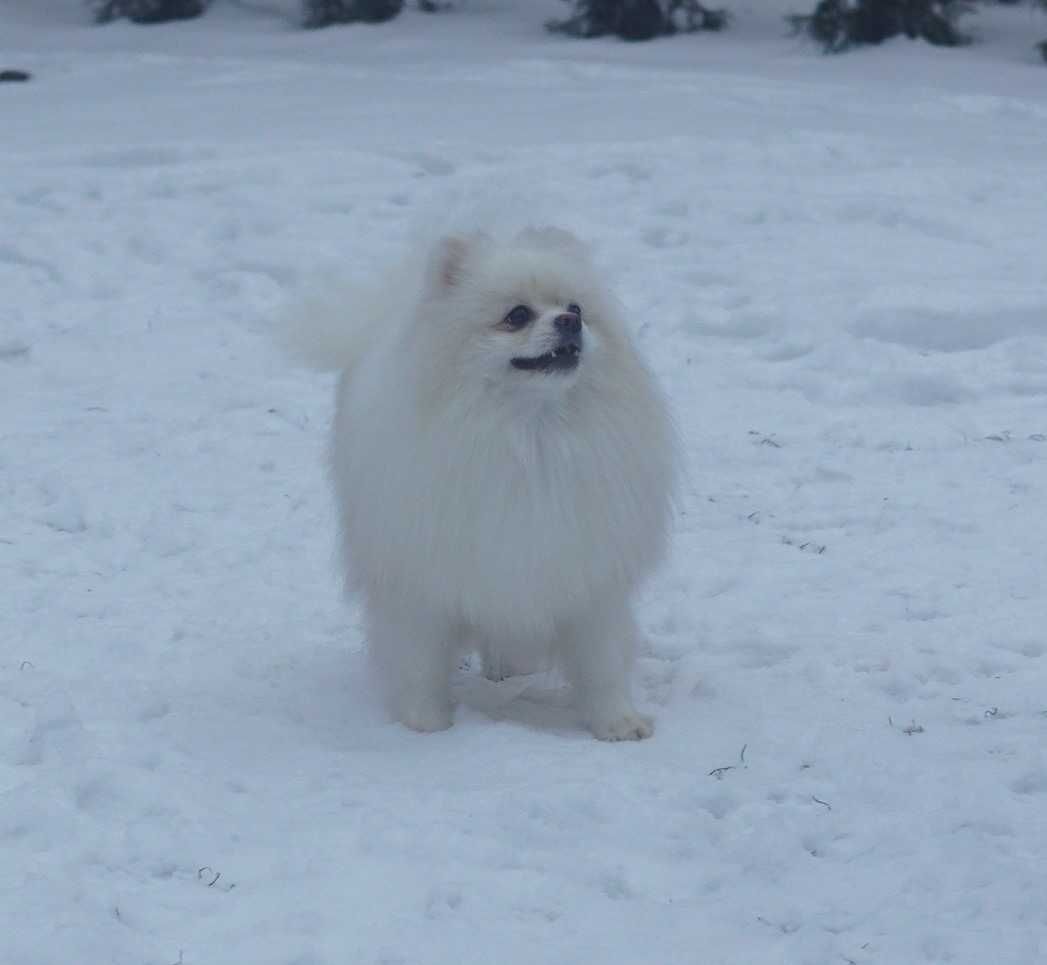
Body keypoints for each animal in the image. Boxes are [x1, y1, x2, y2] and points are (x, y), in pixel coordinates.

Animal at [288, 221, 678, 741]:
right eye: (517, 315)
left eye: (576, 308)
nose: (569, 322)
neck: (530, 434)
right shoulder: (422, 586)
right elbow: (419, 663)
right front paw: (426, 722)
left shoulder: (588, 577)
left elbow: (603, 663)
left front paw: (617, 722)